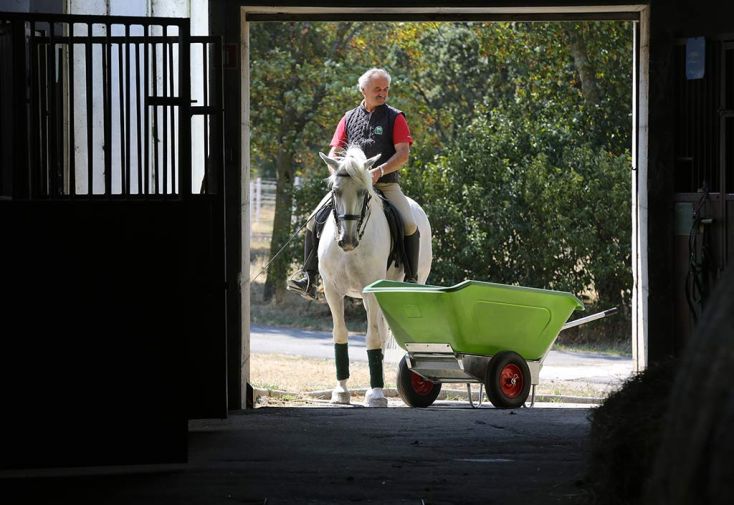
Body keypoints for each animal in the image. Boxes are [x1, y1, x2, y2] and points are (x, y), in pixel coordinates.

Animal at [320, 145, 434, 406]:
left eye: (364, 192)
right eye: (335, 192)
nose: (347, 240)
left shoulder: (370, 291)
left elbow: (372, 338)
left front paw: (377, 395)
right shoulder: (332, 290)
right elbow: (340, 334)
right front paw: (341, 391)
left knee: (382, 335)